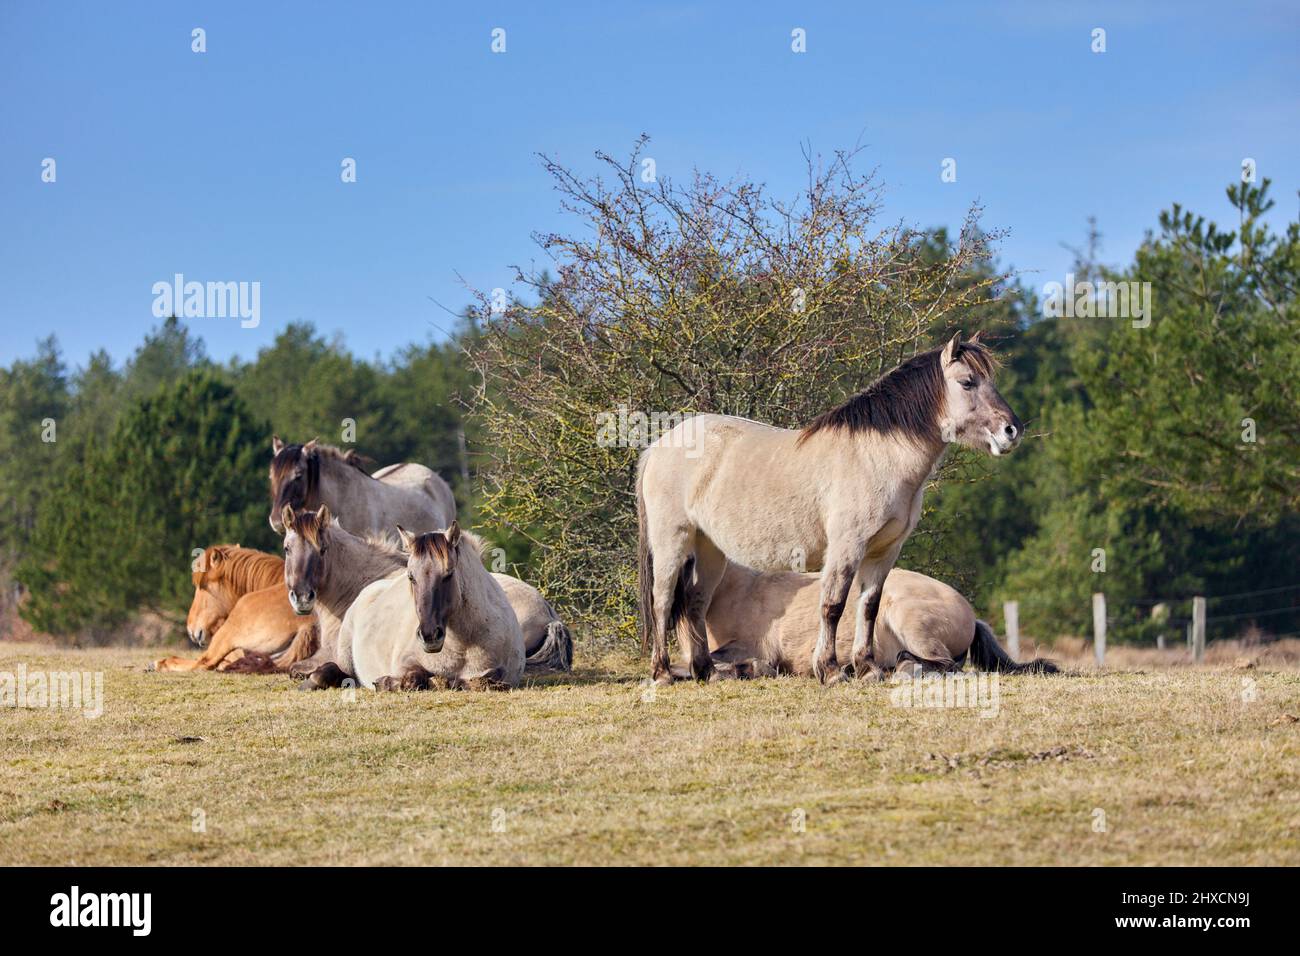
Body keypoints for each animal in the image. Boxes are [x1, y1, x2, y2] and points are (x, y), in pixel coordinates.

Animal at [634, 332, 1019, 686]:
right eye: (967, 382)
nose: (1011, 430)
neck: (873, 456)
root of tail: (659, 445)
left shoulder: (883, 551)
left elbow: (868, 607)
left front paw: (867, 668)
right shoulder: (846, 547)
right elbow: (833, 605)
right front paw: (831, 670)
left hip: (710, 549)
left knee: (696, 603)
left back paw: (707, 672)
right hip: (672, 542)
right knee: (662, 600)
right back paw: (662, 673)